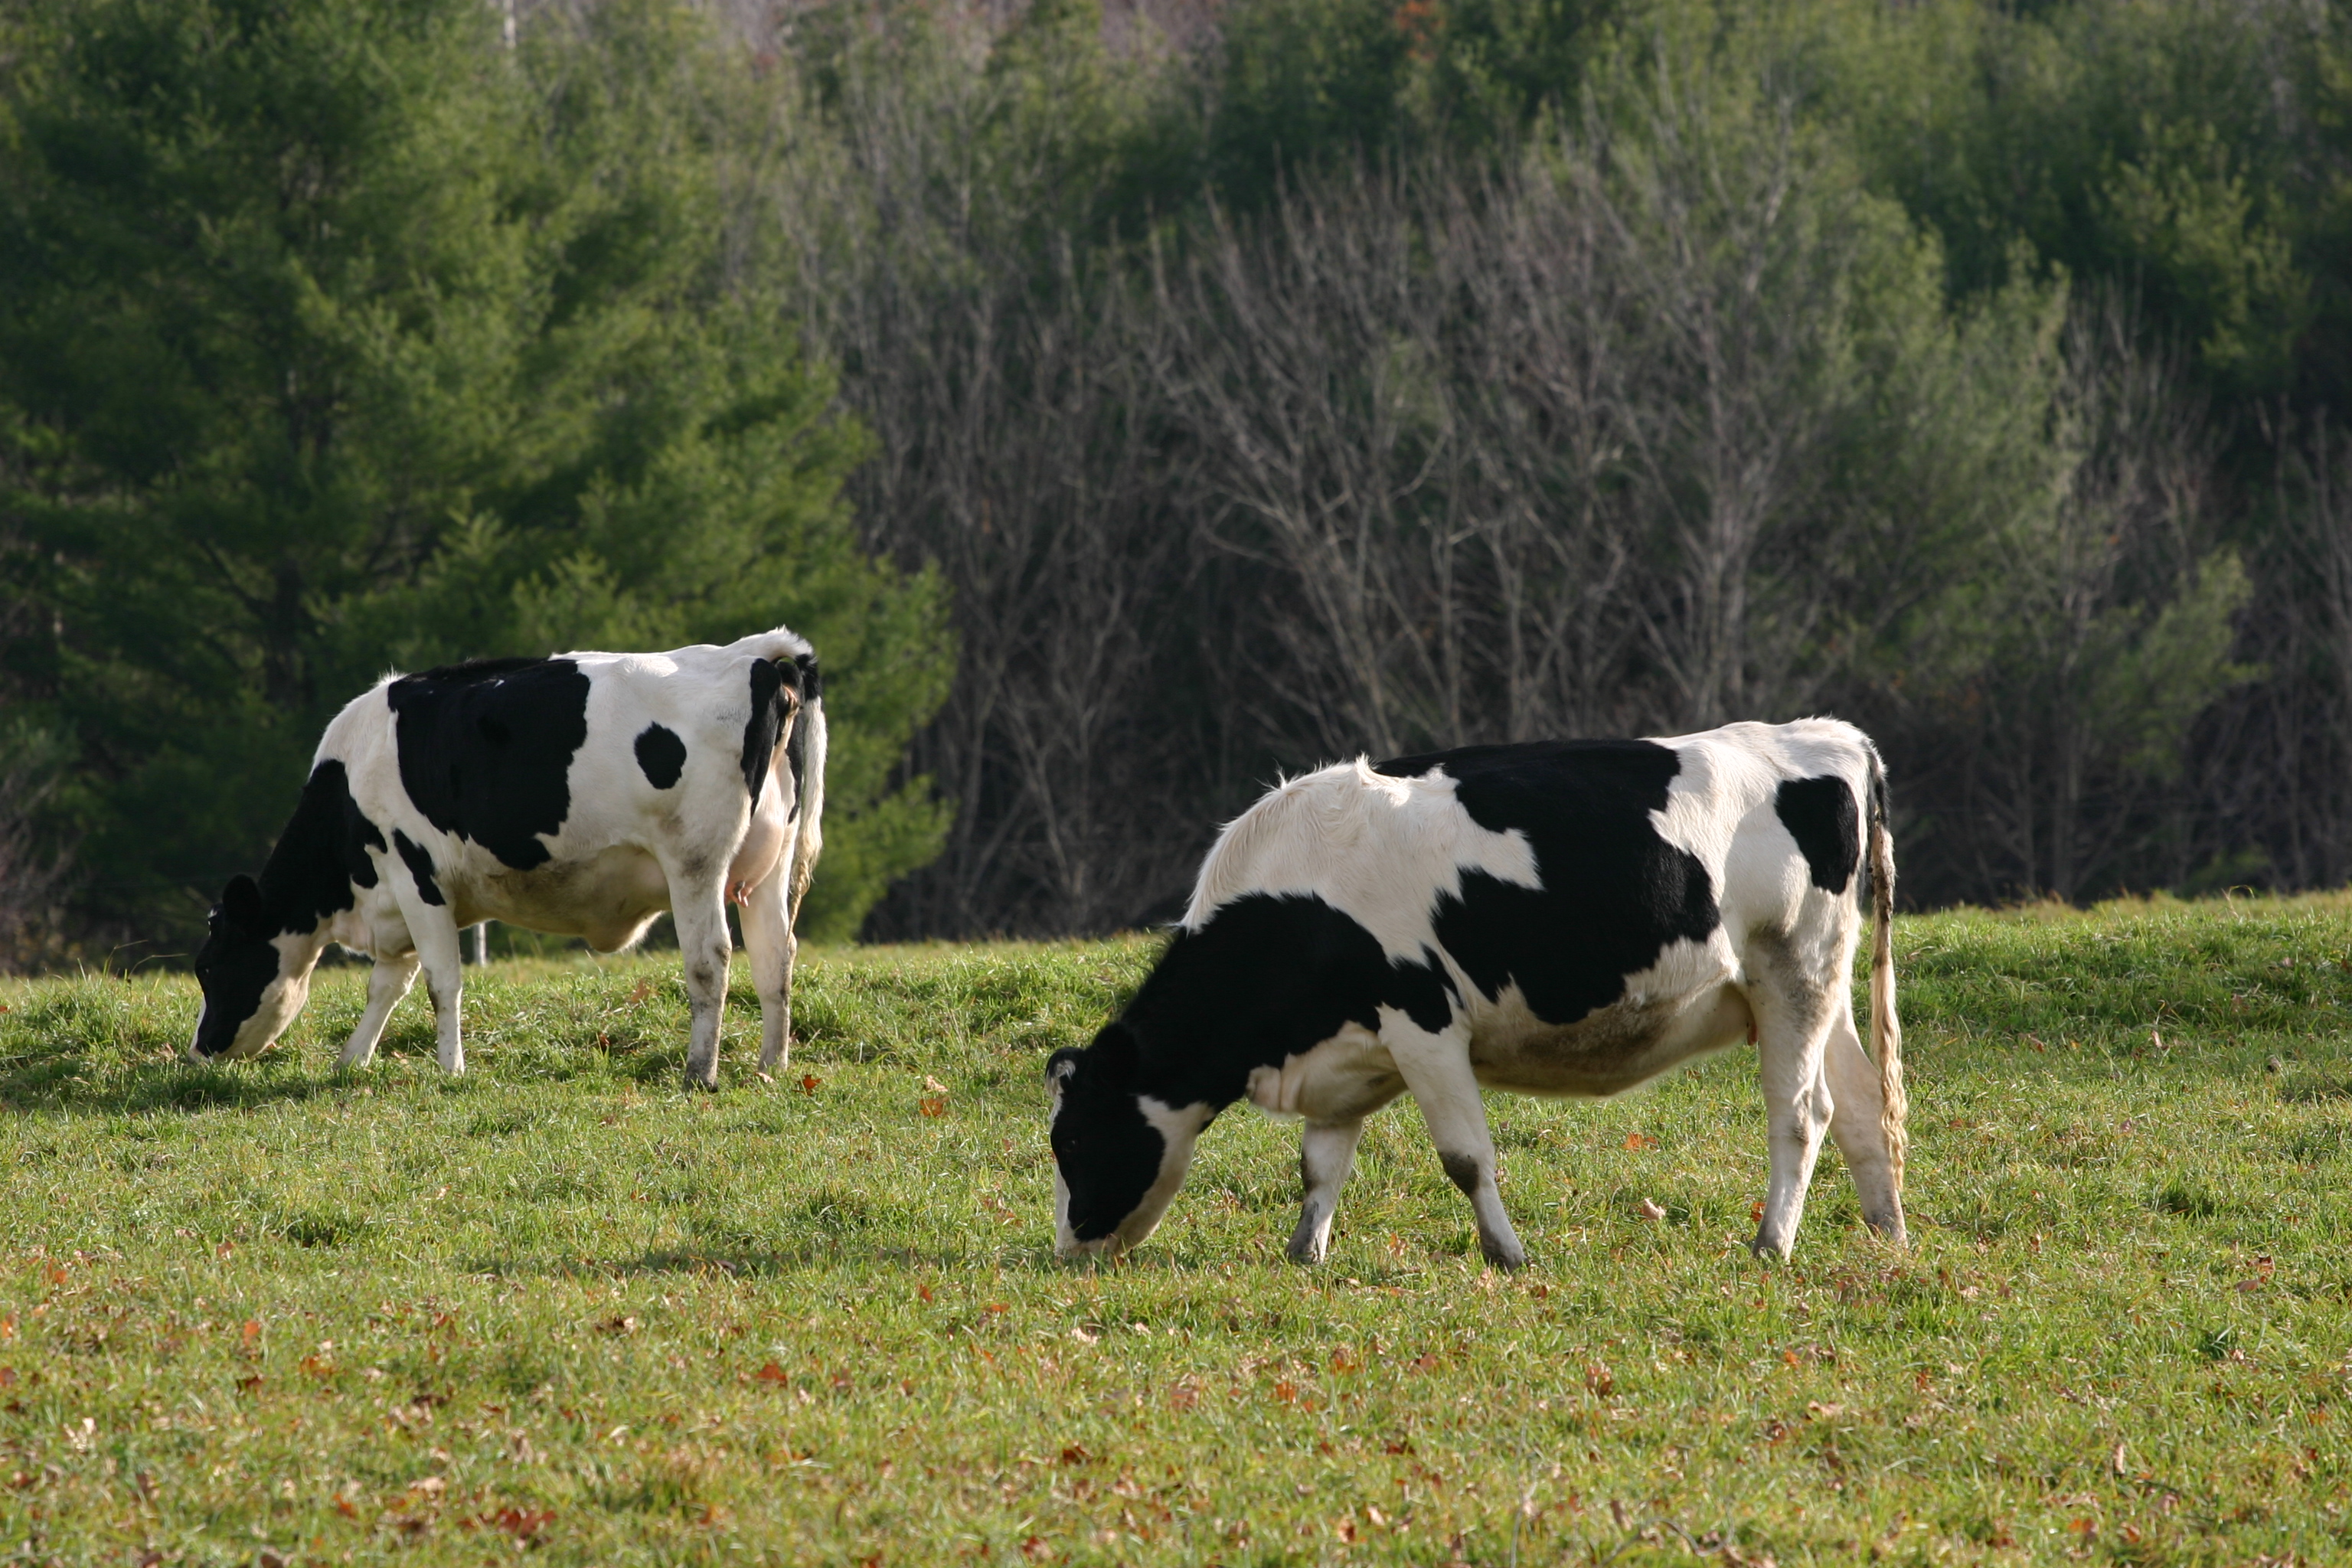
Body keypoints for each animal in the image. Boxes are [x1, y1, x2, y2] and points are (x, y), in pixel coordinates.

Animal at [186, 627, 827, 1090]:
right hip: (768, 868)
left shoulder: (415, 875)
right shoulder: (397, 898)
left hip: (695, 861)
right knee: (775, 958)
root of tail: (755, 655)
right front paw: (352, 1061)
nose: (197, 1052)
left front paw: (450, 1070)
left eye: (209, 968)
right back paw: (771, 1066)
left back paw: (700, 1073)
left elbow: (440, 981)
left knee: (710, 959)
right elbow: (386, 986)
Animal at [1045, 719, 1905, 1268]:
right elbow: (1320, 1165)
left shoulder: (1424, 1024)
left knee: (1802, 1113)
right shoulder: (1343, 1051)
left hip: (1793, 968)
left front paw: (1507, 1254)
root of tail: (1829, 734)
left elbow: (1464, 1157)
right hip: (1815, 985)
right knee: (1861, 1103)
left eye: (1074, 1141)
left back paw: (1772, 1244)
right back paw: (1888, 1231)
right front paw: (1304, 1253)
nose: (1069, 1249)